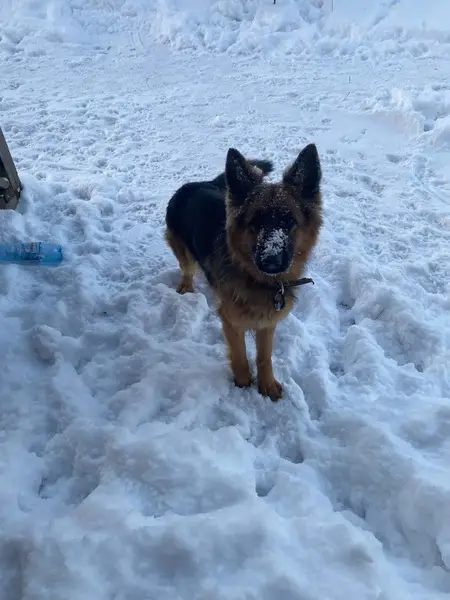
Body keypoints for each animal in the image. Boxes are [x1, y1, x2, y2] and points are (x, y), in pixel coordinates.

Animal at [165, 144, 323, 401]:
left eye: (289, 221)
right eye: (255, 222)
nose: (271, 261)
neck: (260, 281)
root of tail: (196, 184)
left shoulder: (268, 323)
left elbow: (264, 356)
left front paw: (267, 385)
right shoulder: (231, 323)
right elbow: (240, 357)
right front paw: (243, 384)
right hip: (182, 250)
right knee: (186, 268)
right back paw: (186, 286)